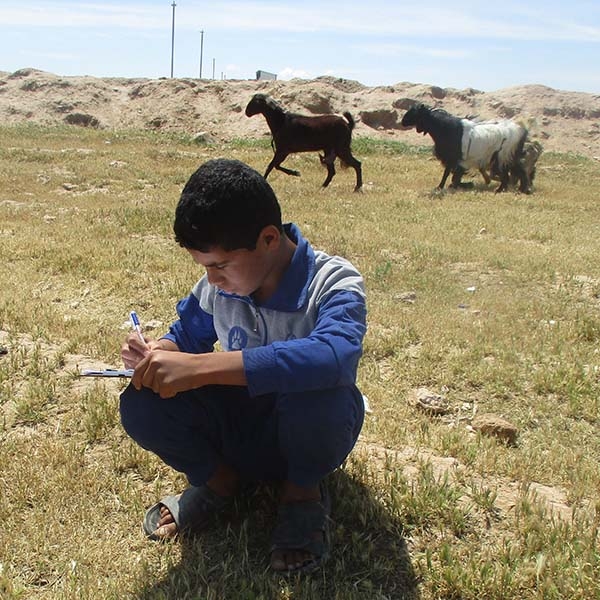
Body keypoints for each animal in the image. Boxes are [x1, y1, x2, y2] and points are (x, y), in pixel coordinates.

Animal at [400, 102, 528, 192]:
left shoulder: (455, 159)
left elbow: (450, 175)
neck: (446, 128)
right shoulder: (453, 160)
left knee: (510, 173)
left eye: (414, 112)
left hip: (502, 156)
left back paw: (503, 189)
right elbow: (450, 174)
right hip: (507, 157)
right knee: (517, 171)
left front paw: (448, 186)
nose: (402, 121)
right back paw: (519, 189)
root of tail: (517, 130)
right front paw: (444, 186)